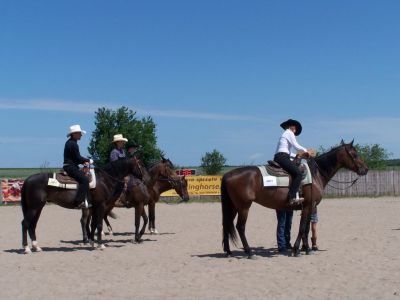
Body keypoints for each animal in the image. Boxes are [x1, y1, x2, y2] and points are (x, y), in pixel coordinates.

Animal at [222, 141, 368, 258]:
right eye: (354, 154)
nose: (365, 169)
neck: (315, 174)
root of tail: (228, 174)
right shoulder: (309, 205)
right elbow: (302, 227)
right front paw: (297, 249)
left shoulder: (309, 207)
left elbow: (307, 228)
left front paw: (307, 249)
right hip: (244, 207)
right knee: (240, 227)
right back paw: (249, 252)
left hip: (233, 206)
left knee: (226, 224)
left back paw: (228, 252)